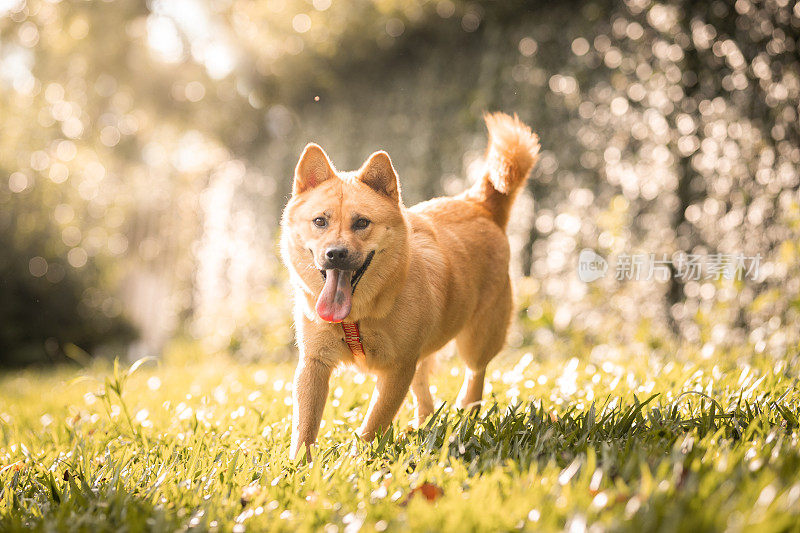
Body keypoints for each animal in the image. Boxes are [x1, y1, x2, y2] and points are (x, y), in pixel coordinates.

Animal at [280, 113, 536, 458]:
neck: (358, 316)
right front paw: (300, 465)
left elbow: (373, 423)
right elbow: (305, 425)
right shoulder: (314, 364)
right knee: (425, 387)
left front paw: (357, 459)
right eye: (320, 221)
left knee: (475, 375)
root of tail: (478, 204)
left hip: (478, 339)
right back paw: (423, 426)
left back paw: (465, 417)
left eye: (361, 223)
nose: (335, 254)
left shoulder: (399, 368)